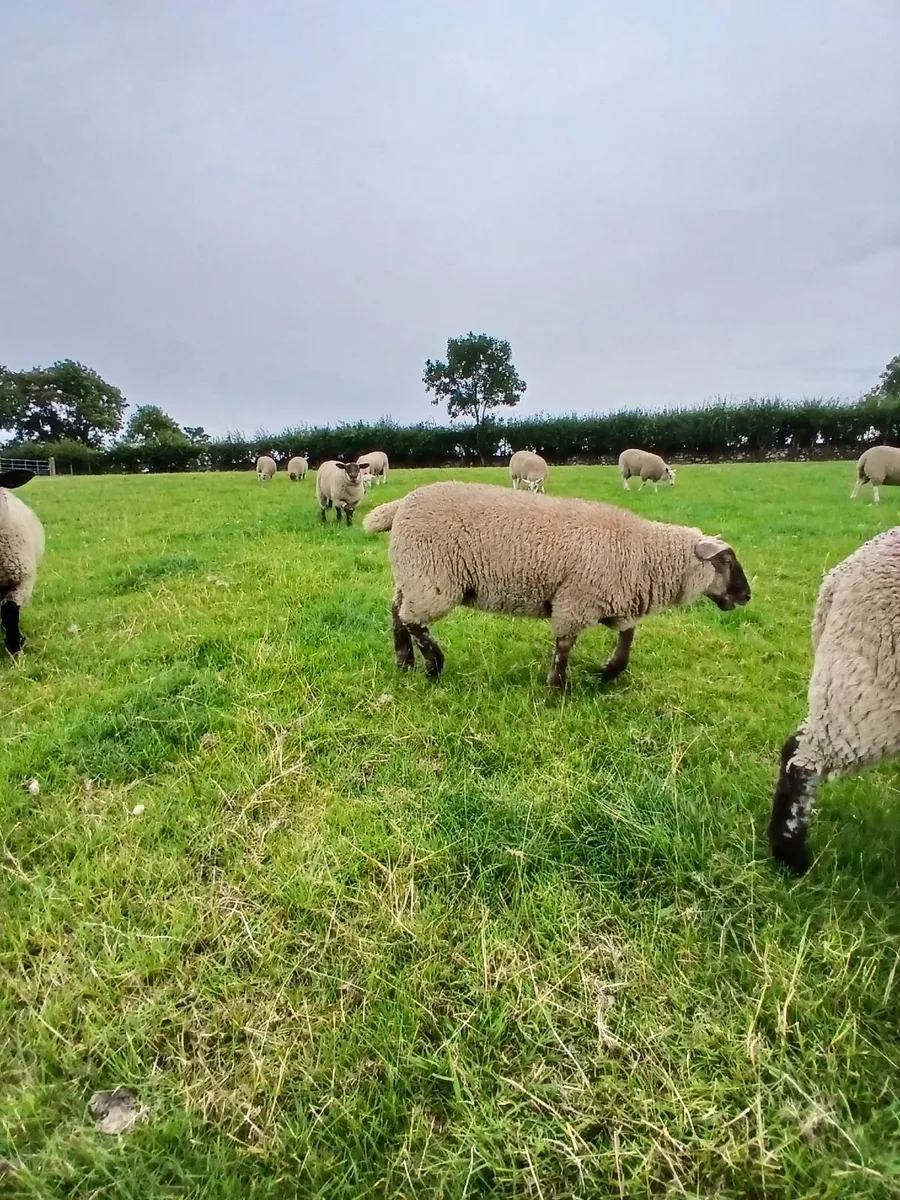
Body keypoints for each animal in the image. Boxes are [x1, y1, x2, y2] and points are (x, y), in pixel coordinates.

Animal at [363, 482, 749, 689]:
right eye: (725, 562)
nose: (746, 595)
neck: (644, 555)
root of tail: (400, 505)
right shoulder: (576, 601)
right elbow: (564, 646)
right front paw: (557, 688)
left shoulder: (617, 600)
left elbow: (628, 636)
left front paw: (610, 671)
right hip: (432, 580)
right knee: (412, 620)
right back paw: (433, 665)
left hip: (412, 575)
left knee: (396, 613)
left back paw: (405, 661)